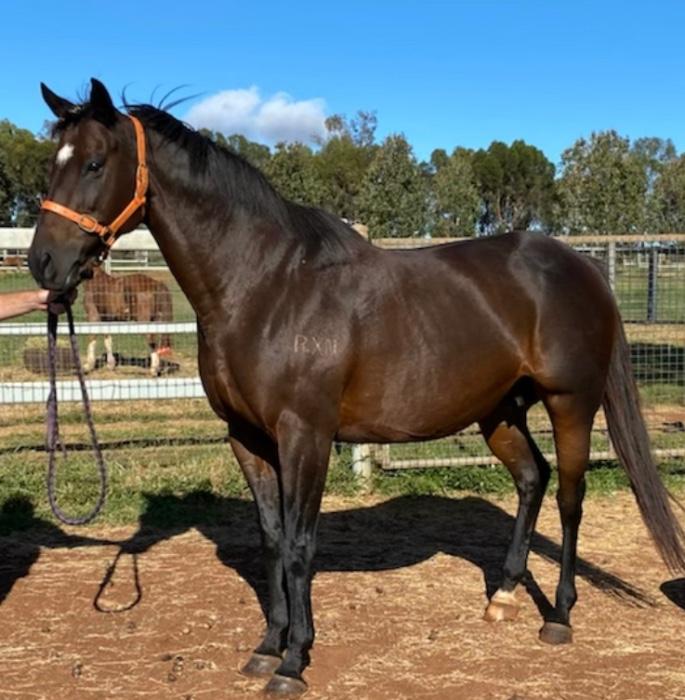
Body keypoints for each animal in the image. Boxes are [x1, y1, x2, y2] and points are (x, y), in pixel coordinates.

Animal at [28, 79, 685, 696]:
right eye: (51, 163)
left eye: (94, 163)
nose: (43, 264)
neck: (263, 287)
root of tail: (581, 266)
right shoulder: (246, 438)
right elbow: (271, 540)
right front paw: (267, 646)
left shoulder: (306, 435)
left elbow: (300, 544)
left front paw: (294, 662)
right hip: (498, 412)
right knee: (532, 479)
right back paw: (501, 597)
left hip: (571, 403)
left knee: (570, 498)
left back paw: (559, 618)